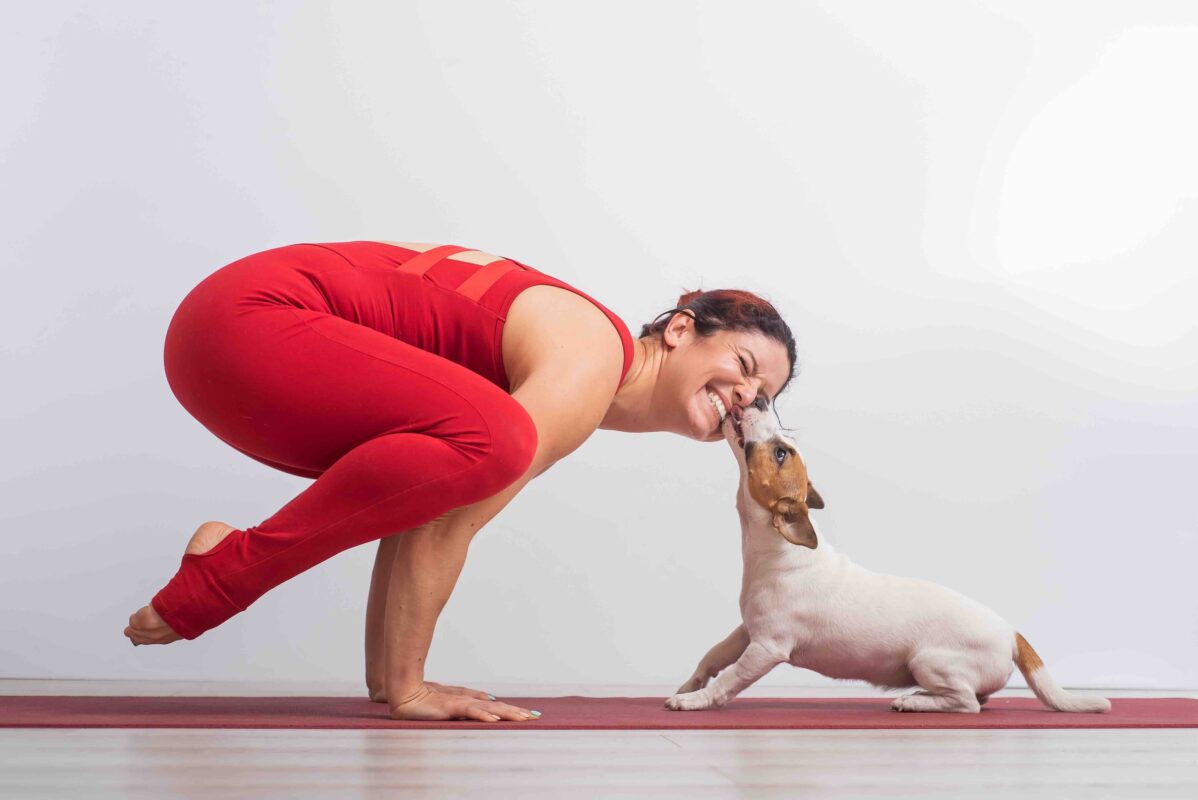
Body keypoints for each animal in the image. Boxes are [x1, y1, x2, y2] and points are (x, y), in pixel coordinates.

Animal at [661, 397, 1106, 713]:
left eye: (781, 454)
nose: (760, 397)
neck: (779, 552)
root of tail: (1012, 633)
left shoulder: (767, 647)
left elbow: (730, 680)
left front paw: (693, 700)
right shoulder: (746, 631)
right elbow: (714, 655)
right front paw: (690, 684)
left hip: (929, 660)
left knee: (967, 703)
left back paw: (913, 701)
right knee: (979, 698)